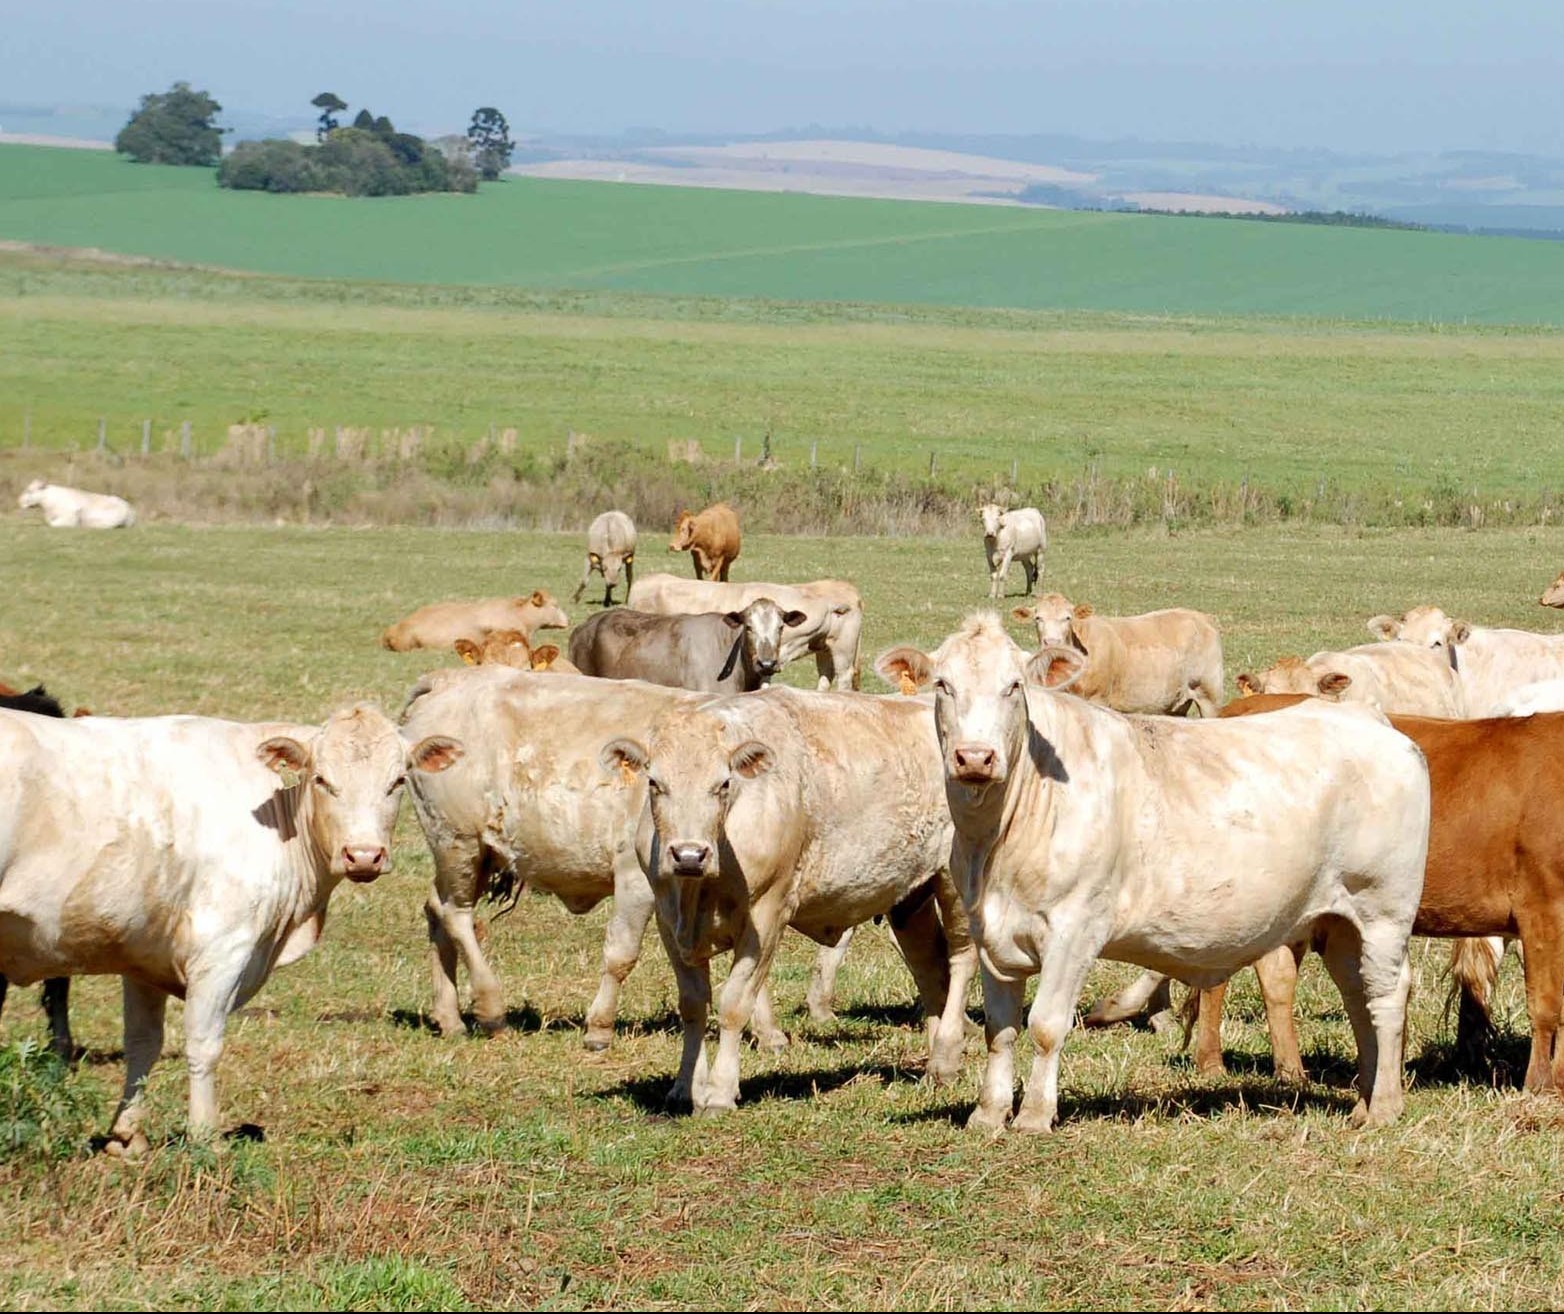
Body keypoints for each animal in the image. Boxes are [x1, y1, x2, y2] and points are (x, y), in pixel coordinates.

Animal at [0, 703, 459, 1157]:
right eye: (322, 779)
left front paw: (127, 1136)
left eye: (397, 781)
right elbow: (204, 1044)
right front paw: (205, 1136)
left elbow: (143, 1042)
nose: (363, 855)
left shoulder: (143, 954)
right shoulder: (223, 949)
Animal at [625, 578, 869, 697]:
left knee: (843, 680)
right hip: (826, 649)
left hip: (843, 650)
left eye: (781, 627)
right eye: (749, 627)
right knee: (826, 678)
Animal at [882, 622, 1432, 1132]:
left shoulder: (1075, 928)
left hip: (1383, 910)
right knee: (1358, 995)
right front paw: (988, 1114)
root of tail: (1370, 718)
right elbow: (1000, 1030)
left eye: (1014, 686)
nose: (975, 757)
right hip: (1339, 922)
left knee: (1387, 994)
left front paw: (1034, 1115)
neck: (999, 836)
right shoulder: (991, 930)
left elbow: (1045, 1025)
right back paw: (1364, 1102)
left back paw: (1384, 1106)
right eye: (943, 685)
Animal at [1007, 594, 1226, 719]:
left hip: (1209, 697)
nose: (1051, 642)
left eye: (1068, 618)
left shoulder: (1098, 699)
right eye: (1038, 618)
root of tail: (1202, 617)